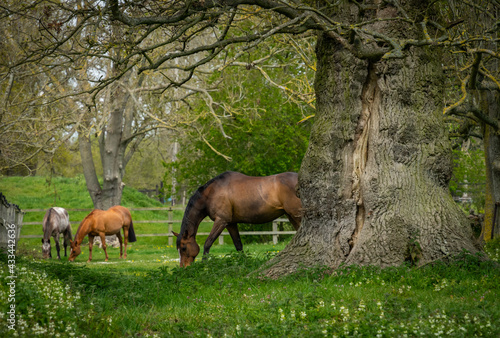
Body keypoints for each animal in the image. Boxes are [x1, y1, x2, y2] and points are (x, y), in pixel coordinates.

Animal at [174, 172, 302, 266]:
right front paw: (243, 262)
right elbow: (238, 245)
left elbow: (208, 243)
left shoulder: (221, 221)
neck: (212, 193)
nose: (183, 267)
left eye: (184, 248)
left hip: (296, 214)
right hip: (291, 216)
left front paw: (204, 264)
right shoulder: (231, 224)